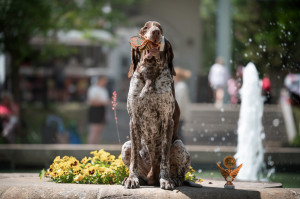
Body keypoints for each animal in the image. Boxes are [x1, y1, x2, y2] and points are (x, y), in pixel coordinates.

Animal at [121, 21, 190, 190]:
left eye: (160, 28)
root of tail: (152, 178)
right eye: (145, 28)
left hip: (179, 145)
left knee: (178, 171)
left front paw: (165, 180)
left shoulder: (167, 120)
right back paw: (139, 179)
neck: (150, 71)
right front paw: (132, 178)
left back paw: (174, 180)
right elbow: (134, 159)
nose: (155, 32)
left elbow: (164, 156)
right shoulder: (134, 120)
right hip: (126, 146)